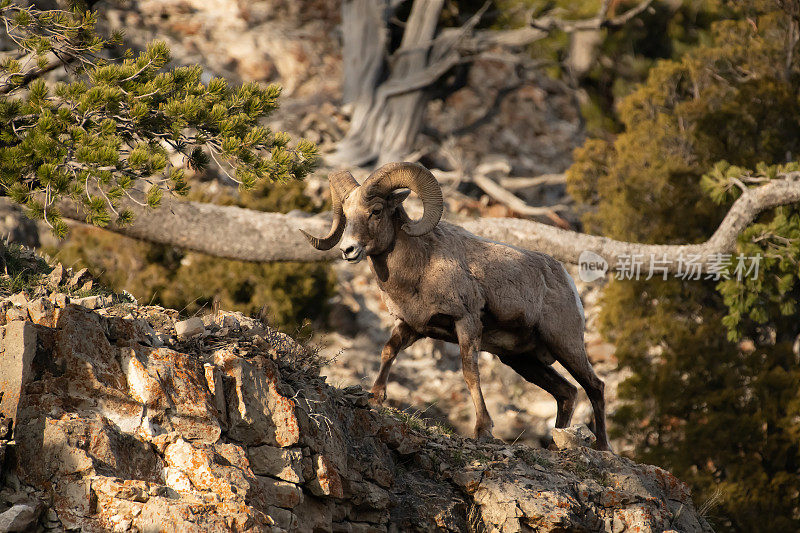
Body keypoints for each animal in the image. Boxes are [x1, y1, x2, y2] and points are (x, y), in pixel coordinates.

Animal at [304, 161, 608, 448]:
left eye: (376, 210)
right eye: (346, 213)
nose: (348, 250)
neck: (420, 268)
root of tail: (565, 278)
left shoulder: (466, 322)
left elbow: (470, 373)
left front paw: (483, 429)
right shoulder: (410, 326)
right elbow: (388, 351)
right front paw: (376, 398)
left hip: (565, 345)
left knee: (595, 386)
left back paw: (603, 447)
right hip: (522, 360)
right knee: (567, 393)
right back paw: (558, 445)